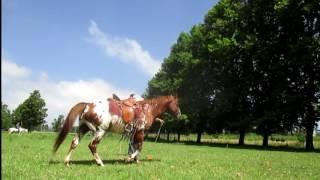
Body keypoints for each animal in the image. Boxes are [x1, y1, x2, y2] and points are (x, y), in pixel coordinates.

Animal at [52, 95, 180, 167]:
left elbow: (133, 147)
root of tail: (87, 105)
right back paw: (100, 163)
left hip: (83, 129)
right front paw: (129, 159)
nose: (179, 114)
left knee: (74, 143)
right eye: (176, 103)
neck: (147, 109)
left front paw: (135, 160)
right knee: (92, 145)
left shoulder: (133, 133)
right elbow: (139, 147)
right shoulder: (140, 131)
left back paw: (67, 162)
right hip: (100, 131)